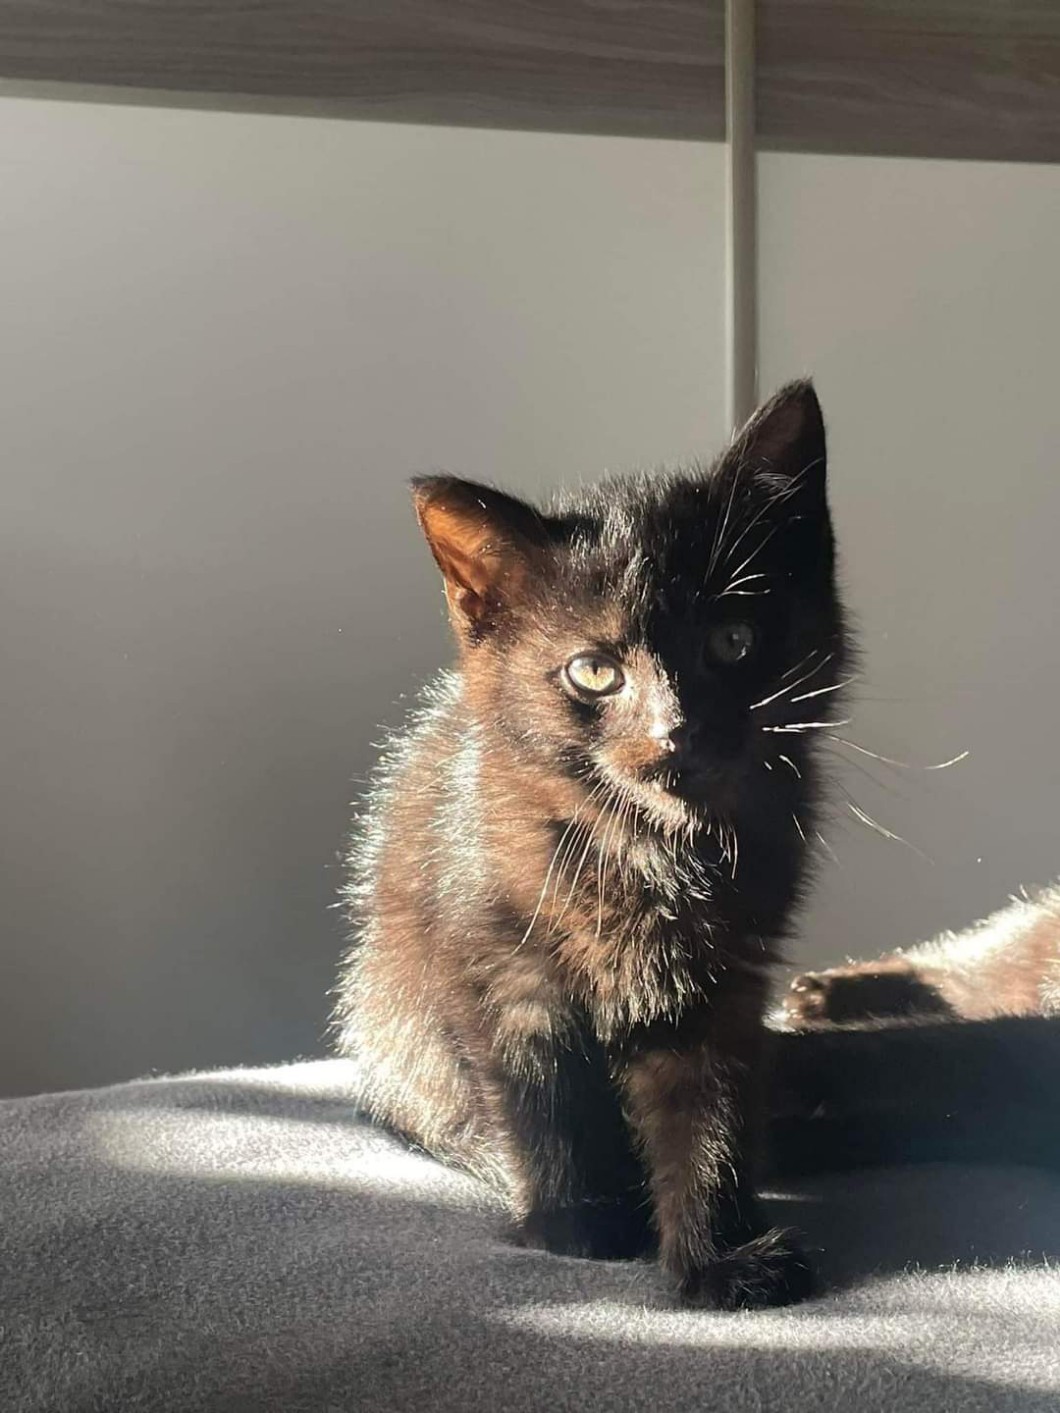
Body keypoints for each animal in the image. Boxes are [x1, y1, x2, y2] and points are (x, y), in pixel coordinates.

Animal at [333, 381, 851, 1309]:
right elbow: (544, 1091)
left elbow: (711, 1109)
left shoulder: (720, 981)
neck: (651, 847)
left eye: (733, 640)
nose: (677, 731)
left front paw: (721, 1254)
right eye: (595, 671)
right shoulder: (503, 963)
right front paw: (578, 1222)